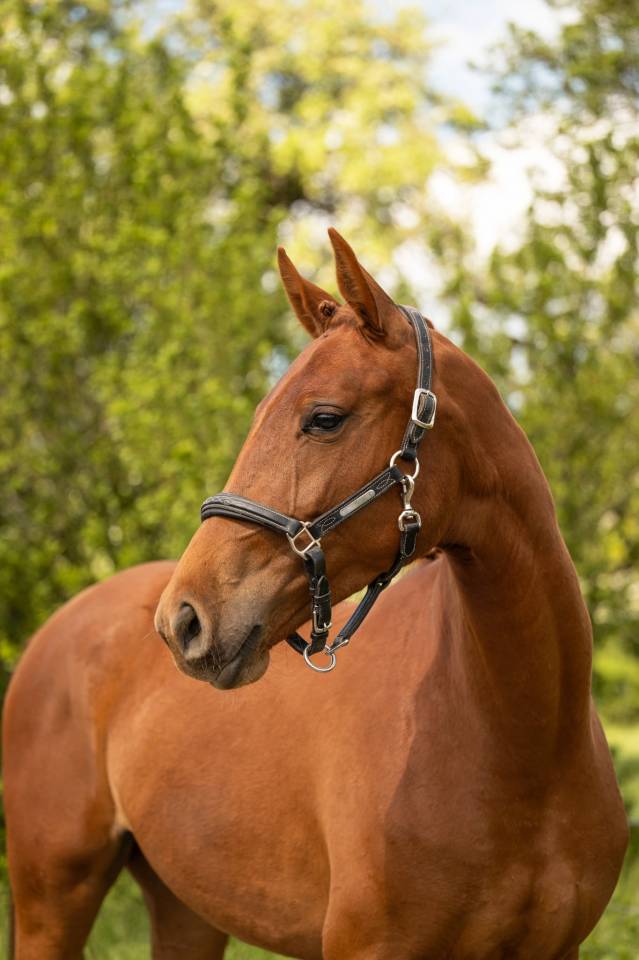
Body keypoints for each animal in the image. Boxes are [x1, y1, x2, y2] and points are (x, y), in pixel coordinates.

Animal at [3, 229, 628, 959]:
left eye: (324, 418)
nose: (183, 621)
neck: (524, 746)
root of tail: (60, 628)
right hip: (53, 902)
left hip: (186, 907)